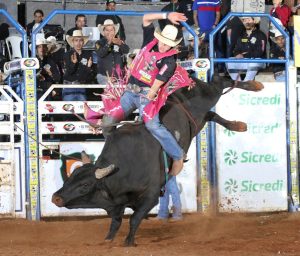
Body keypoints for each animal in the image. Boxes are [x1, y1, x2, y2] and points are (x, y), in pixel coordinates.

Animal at [51, 75, 262, 246]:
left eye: (85, 186)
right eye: (71, 177)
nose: (56, 197)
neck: (123, 169)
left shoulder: (151, 196)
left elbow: (134, 219)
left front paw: (129, 242)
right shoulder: (117, 204)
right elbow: (116, 221)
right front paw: (108, 240)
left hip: (208, 94)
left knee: (220, 81)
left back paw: (254, 85)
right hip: (198, 121)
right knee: (211, 113)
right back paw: (237, 125)